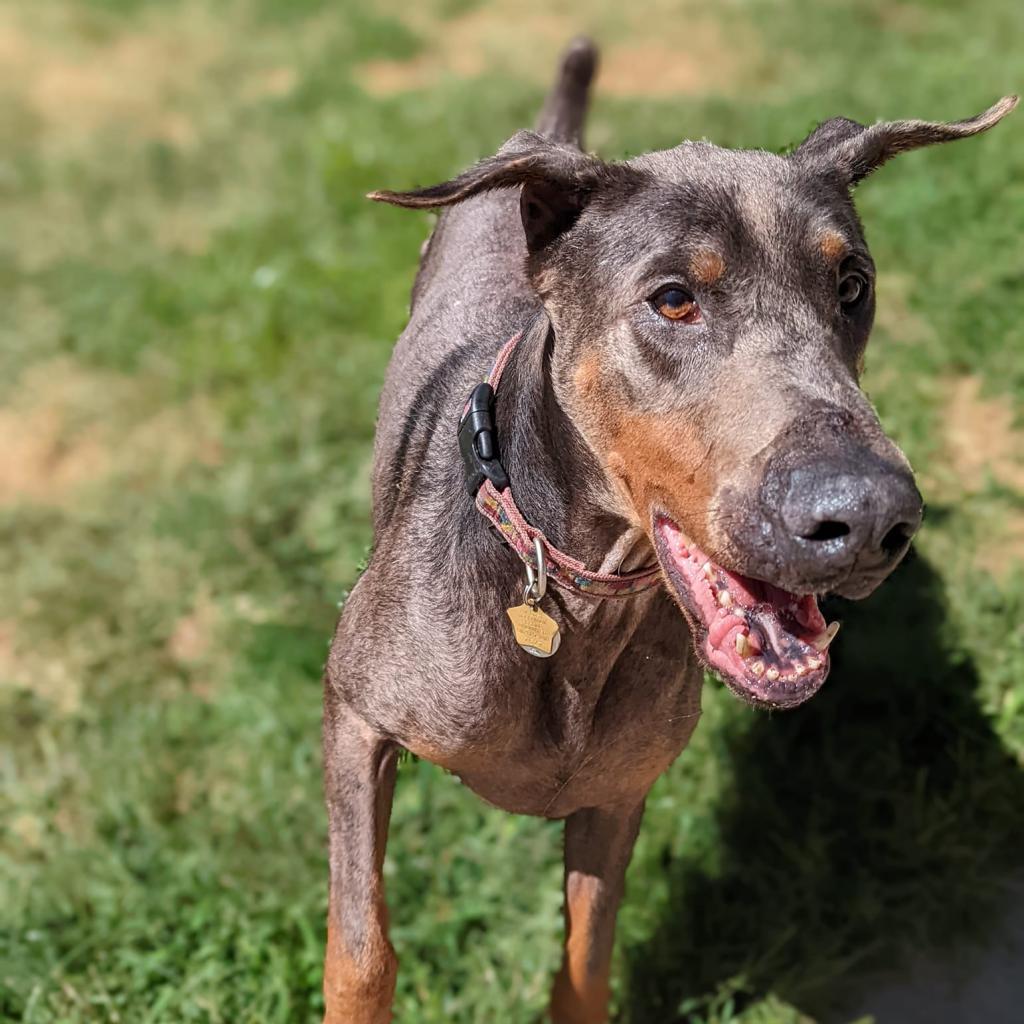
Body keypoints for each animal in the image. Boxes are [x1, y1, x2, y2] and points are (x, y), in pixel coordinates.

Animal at [321, 36, 1015, 1019]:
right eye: (674, 299)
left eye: (852, 285)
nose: (872, 515)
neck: (573, 598)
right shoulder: (355, 712)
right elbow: (362, 942)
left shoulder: (619, 792)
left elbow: (586, 956)